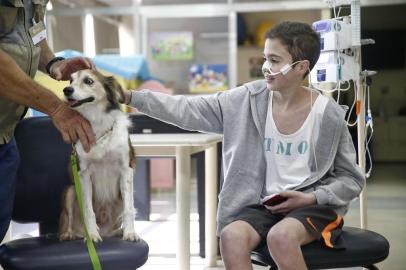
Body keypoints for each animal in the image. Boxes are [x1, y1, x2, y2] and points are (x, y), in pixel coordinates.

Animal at [58, 69, 139, 243]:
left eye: (88, 81)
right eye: (70, 81)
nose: (66, 90)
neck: (98, 124)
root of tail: (106, 231)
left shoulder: (126, 170)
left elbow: (129, 209)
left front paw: (130, 233)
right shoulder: (83, 174)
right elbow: (88, 210)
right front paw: (92, 235)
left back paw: (119, 232)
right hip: (70, 190)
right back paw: (70, 234)